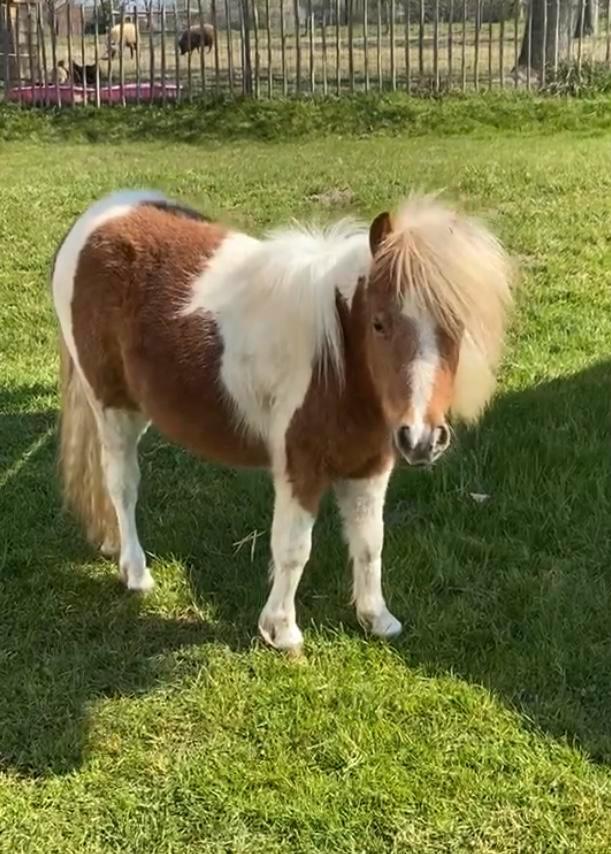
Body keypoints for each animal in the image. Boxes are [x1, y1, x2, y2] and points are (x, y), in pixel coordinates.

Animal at [51, 191, 512, 651]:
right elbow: (293, 548)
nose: (421, 439)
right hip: (113, 408)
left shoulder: (369, 467)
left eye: (456, 326)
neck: (337, 360)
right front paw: (282, 631)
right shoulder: (300, 467)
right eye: (379, 323)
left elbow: (370, 542)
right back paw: (136, 572)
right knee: (122, 486)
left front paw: (377, 618)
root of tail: (100, 215)